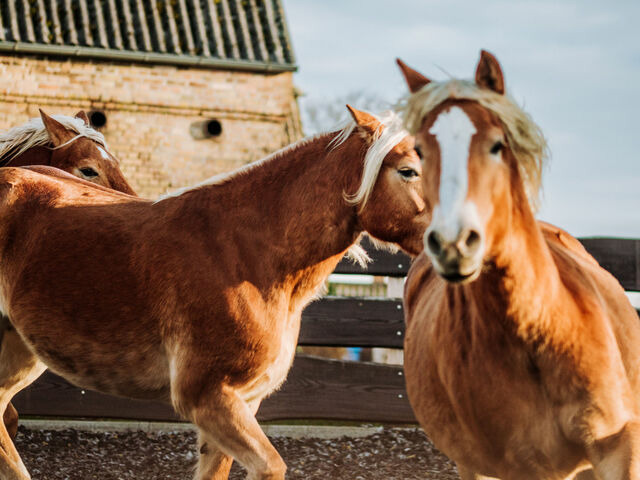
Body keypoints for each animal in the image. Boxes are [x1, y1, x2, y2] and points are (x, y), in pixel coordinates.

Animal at [0, 107, 428, 478]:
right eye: (408, 171)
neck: (247, 255)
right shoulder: (209, 398)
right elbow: (271, 466)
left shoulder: (241, 402)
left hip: (22, 350)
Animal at [400, 50, 640, 478]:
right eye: (421, 152)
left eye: (497, 145)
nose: (453, 243)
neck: (541, 332)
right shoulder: (514, 467)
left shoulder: (617, 446)